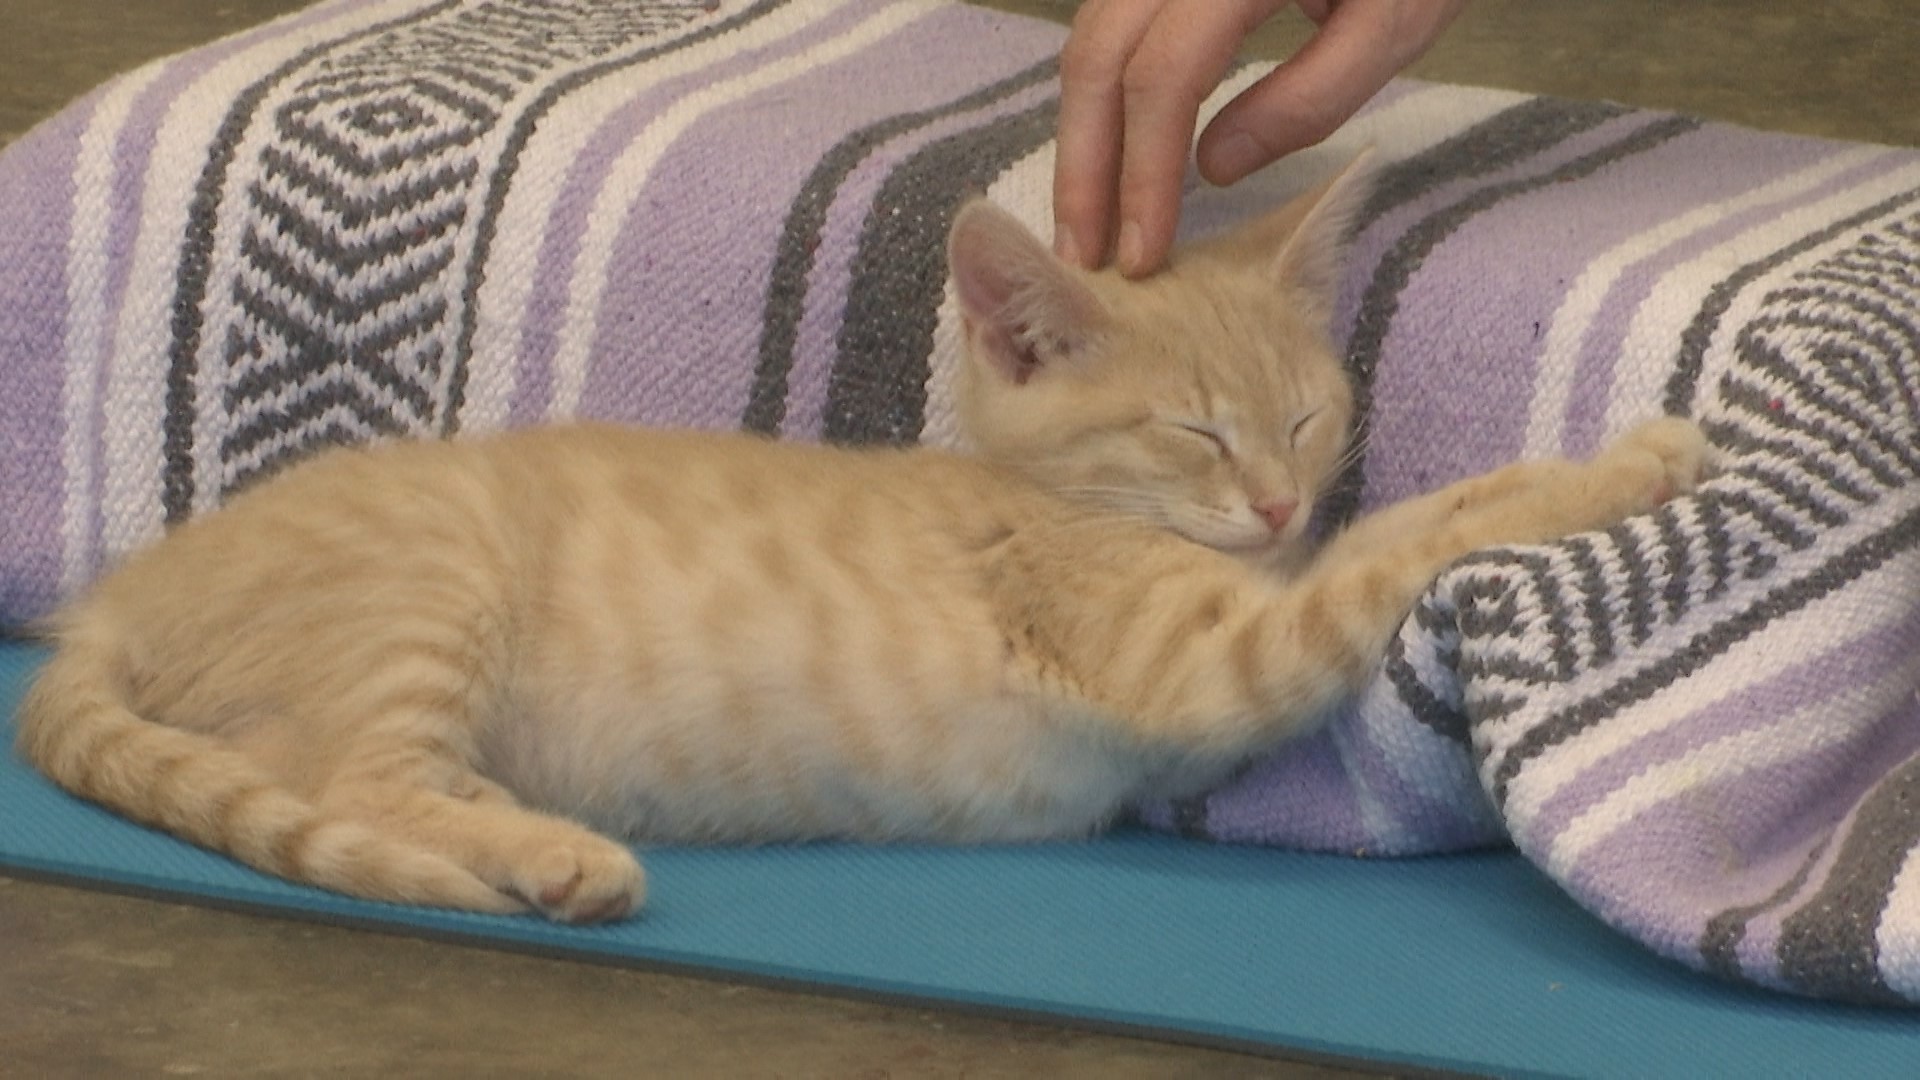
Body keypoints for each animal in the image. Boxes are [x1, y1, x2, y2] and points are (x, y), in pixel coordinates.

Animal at [11, 159, 1697, 914]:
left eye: (1302, 417)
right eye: (1196, 432)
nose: (1278, 500)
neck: (1048, 500)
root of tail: (111, 603)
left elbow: (1369, 540)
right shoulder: (1194, 651)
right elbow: (1406, 539)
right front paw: (1619, 462)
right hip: (426, 593)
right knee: (355, 780)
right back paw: (555, 858)